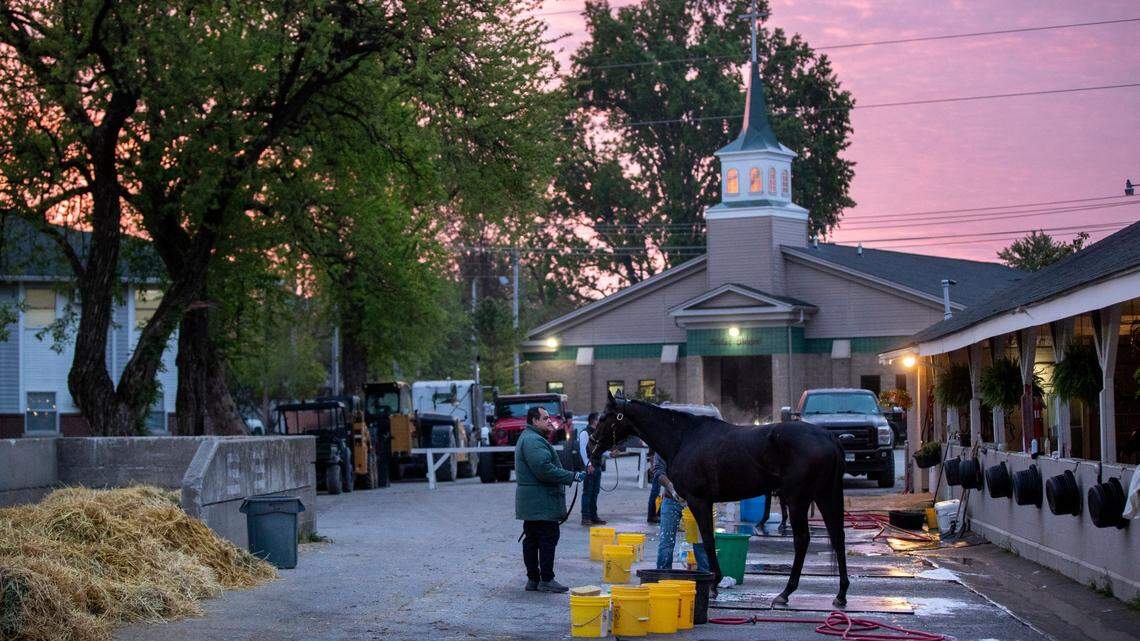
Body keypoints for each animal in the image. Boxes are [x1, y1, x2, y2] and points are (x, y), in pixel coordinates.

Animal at [587, 392, 850, 607]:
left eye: (604, 417)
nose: (591, 446)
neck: (683, 438)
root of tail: (830, 438)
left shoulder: (699, 500)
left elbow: (708, 541)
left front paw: (714, 584)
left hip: (798, 500)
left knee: (802, 540)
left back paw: (785, 593)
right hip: (826, 496)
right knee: (838, 537)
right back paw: (841, 594)